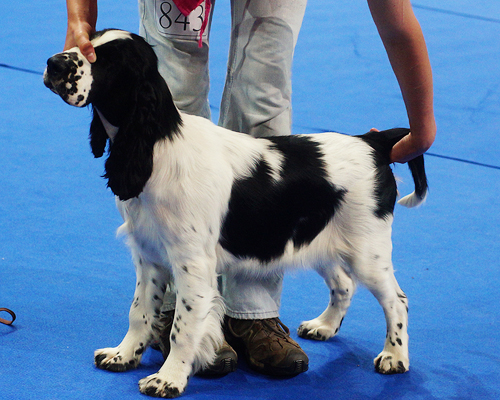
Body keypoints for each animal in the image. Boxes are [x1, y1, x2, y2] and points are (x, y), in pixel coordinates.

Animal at [45, 29, 426, 398]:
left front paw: (168, 380)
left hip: (367, 250)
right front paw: (123, 355)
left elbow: (182, 328)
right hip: (320, 241)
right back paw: (324, 326)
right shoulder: (149, 256)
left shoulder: (192, 264)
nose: (53, 64)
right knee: (344, 284)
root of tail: (373, 142)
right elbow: (140, 311)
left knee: (397, 301)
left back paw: (394, 357)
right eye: (89, 41)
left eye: (107, 61)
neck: (155, 143)